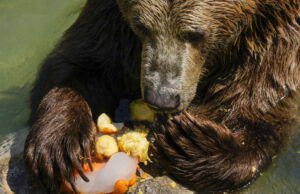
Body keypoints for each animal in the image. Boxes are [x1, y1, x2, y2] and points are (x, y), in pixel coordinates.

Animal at [24, 0, 300, 192]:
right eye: (142, 26)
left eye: (195, 34)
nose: (161, 98)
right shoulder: (112, 26)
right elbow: (80, 64)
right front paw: (60, 145)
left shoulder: (272, 37)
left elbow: (258, 104)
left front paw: (191, 141)